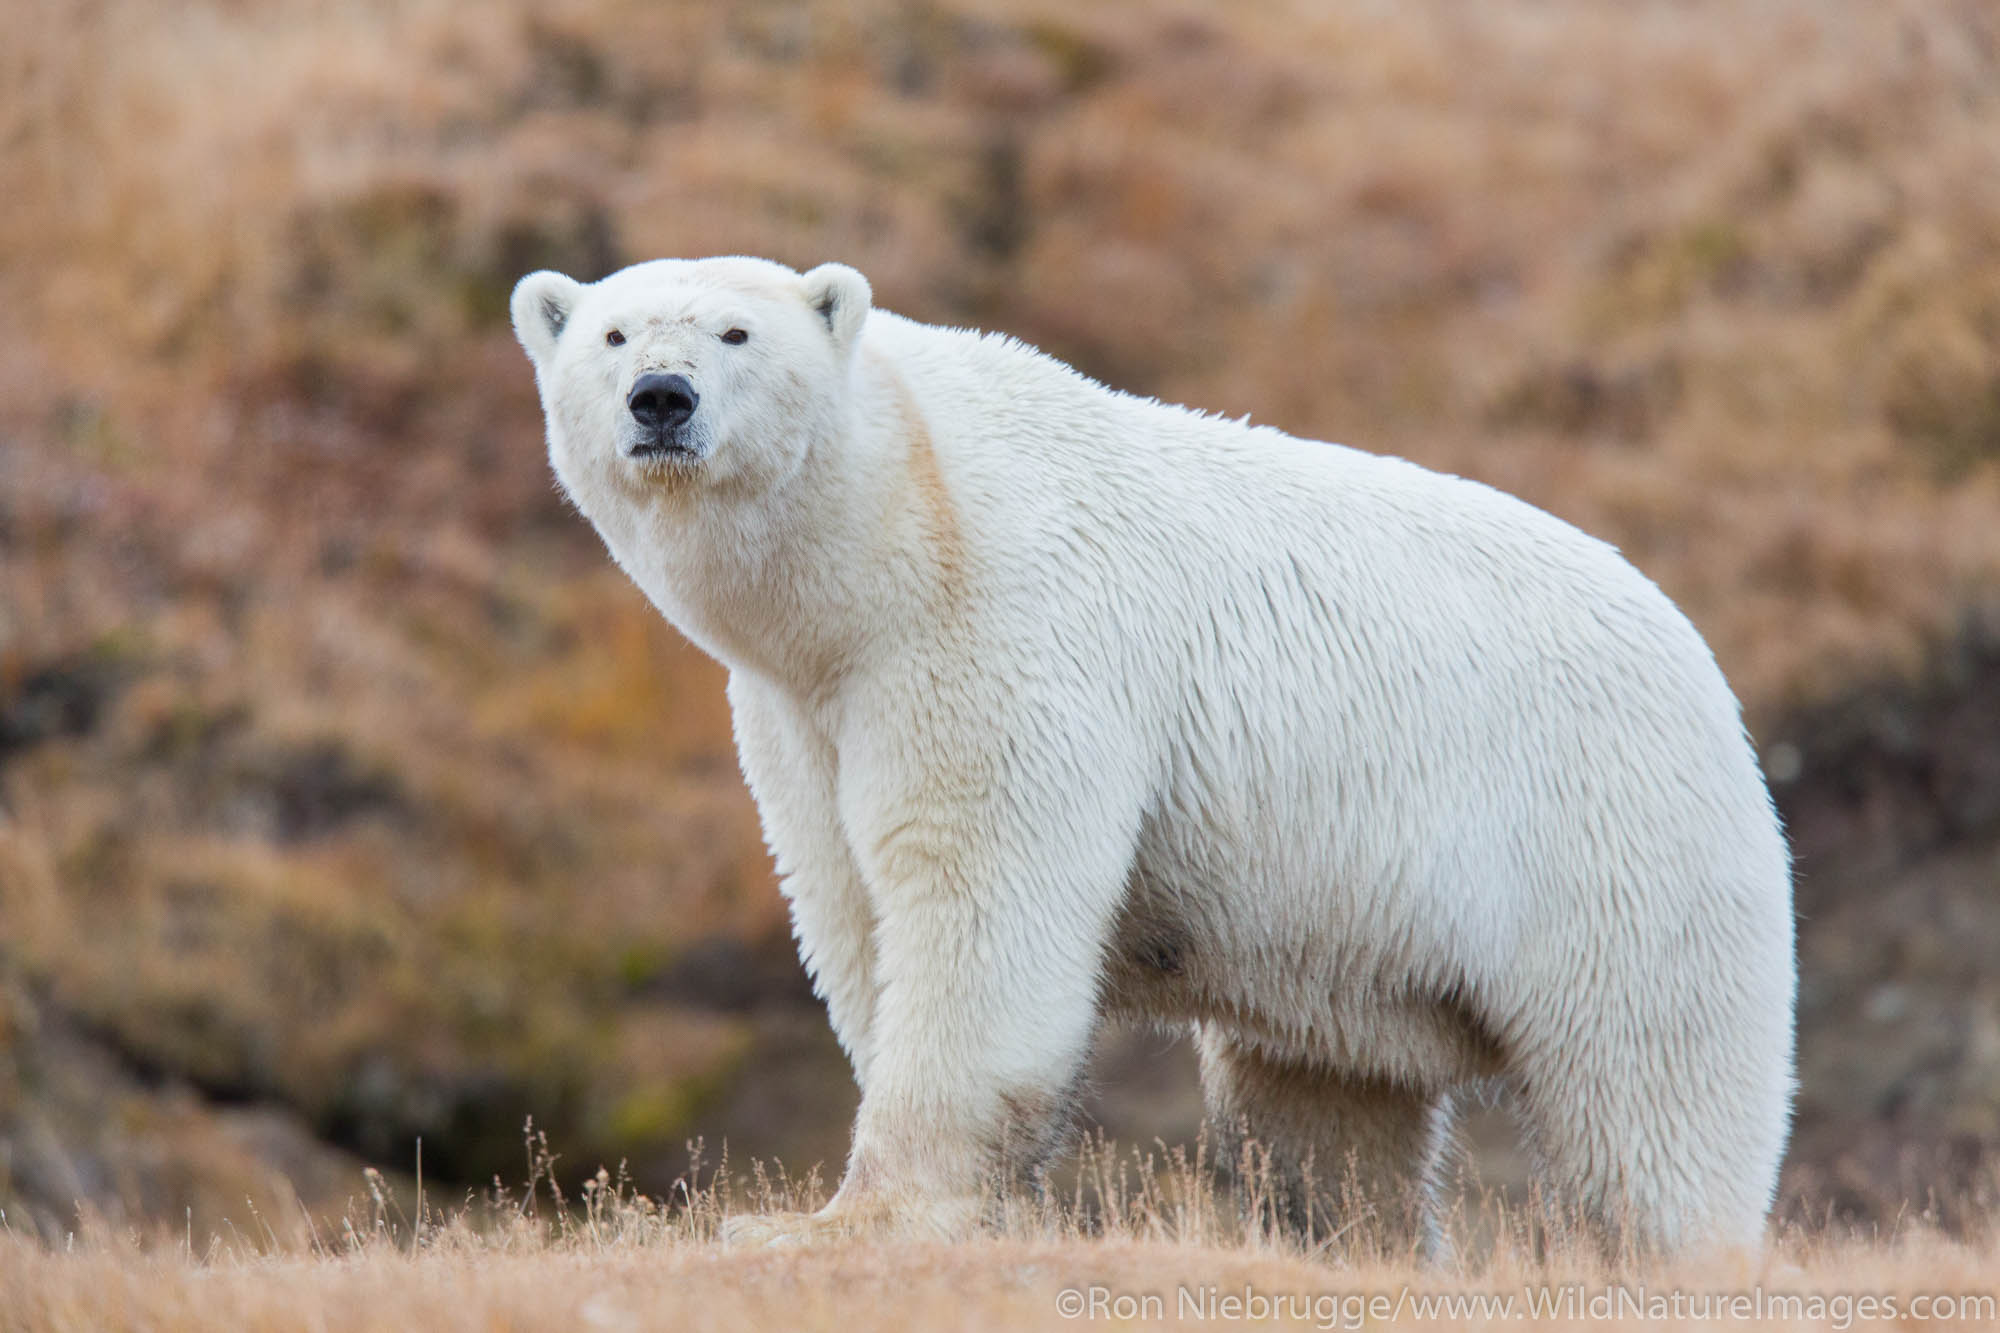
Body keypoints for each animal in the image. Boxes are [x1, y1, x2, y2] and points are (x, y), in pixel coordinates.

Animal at [512, 254, 1800, 1248]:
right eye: (614, 332)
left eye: (735, 331)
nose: (661, 398)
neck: (883, 543)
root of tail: (1699, 664)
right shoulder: (803, 714)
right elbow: (850, 906)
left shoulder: (999, 634)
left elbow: (976, 894)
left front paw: (850, 1219)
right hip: (1360, 931)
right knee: (1318, 1102)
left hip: (1607, 832)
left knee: (1652, 1092)